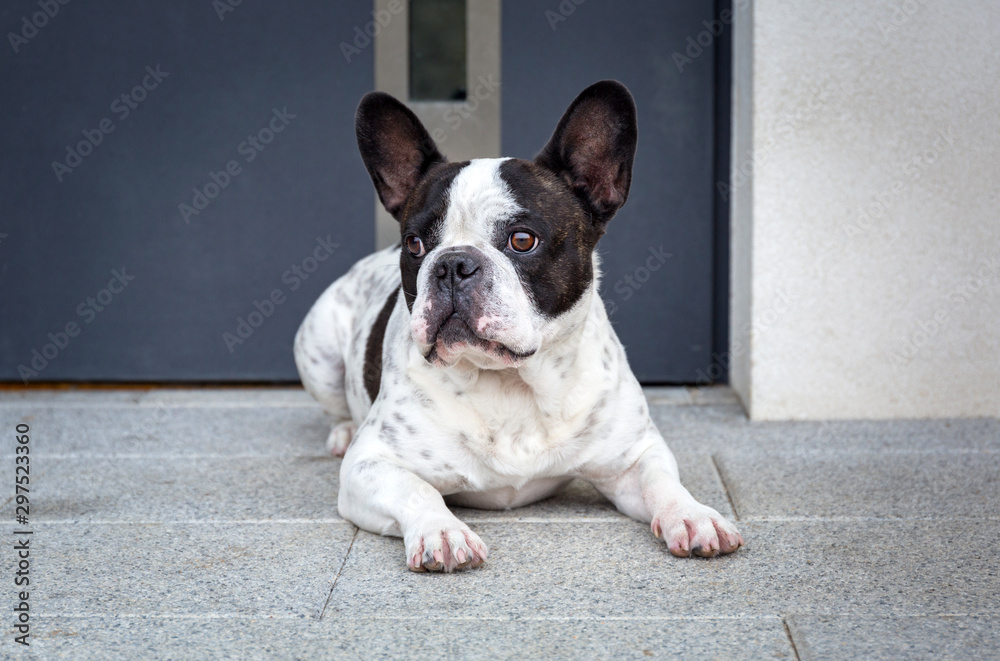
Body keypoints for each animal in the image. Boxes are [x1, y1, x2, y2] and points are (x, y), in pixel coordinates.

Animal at [292, 80, 740, 568]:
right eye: (414, 244)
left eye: (522, 240)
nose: (452, 264)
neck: (513, 383)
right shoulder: (369, 464)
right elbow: (417, 490)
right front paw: (441, 530)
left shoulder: (632, 456)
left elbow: (662, 481)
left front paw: (693, 515)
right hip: (316, 351)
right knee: (336, 405)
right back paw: (343, 430)